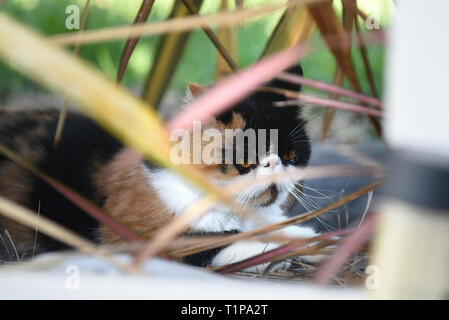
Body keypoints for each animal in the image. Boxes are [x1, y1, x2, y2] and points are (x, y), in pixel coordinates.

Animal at [0, 64, 322, 270]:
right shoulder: (125, 234)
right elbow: (211, 243)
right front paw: (274, 250)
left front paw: (307, 240)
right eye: (245, 161)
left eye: (291, 155)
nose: (273, 162)